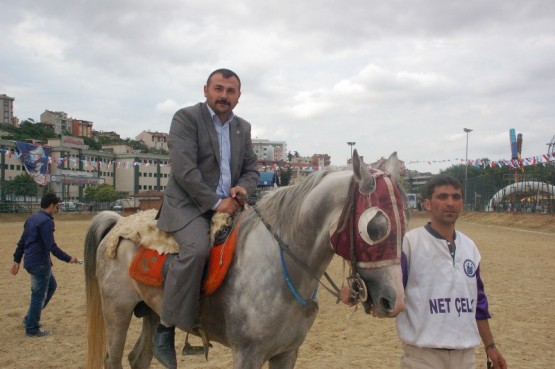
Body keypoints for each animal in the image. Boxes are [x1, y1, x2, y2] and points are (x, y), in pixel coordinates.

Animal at [86, 150, 408, 368]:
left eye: (405, 222)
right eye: (375, 227)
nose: (395, 302)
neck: (278, 272)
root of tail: (118, 222)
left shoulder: (286, 354)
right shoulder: (247, 355)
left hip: (150, 310)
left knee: (138, 358)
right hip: (117, 311)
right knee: (114, 359)